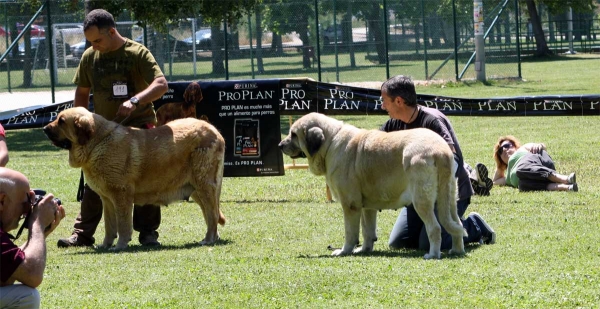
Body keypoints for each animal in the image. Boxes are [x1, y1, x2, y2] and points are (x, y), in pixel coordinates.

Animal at [42, 107, 225, 249]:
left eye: (61, 121)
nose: (44, 128)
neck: (98, 142)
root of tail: (215, 131)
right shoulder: (107, 200)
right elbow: (109, 225)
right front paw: (105, 245)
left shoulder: (121, 195)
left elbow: (123, 224)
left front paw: (120, 245)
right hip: (196, 189)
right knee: (211, 214)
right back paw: (212, 238)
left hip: (204, 185)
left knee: (212, 214)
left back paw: (208, 240)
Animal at [278, 113, 466, 258]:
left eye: (293, 134)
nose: (280, 145)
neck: (330, 143)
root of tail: (441, 150)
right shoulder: (367, 207)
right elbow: (367, 231)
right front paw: (364, 249)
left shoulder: (350, 205)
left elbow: (350, 232)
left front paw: (344, 251)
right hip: (449, 199)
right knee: (457, 224)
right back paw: (457, 250)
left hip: (422, 201)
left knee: (435, 228)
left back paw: (433, 254)